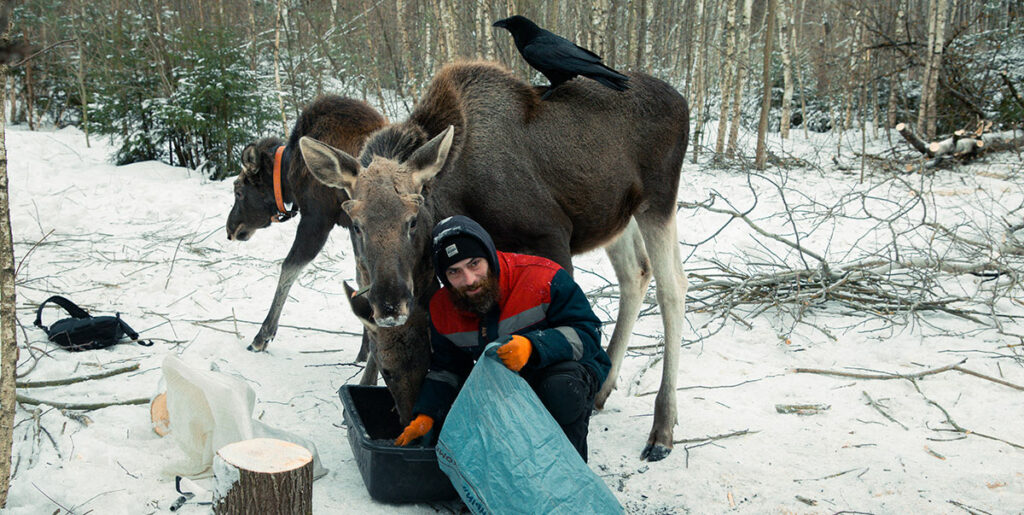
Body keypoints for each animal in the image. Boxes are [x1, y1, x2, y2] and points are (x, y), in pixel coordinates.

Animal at [226, 95, 385, 362]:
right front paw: (365, 351)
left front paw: (262, 336)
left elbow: (289, 267)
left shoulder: (317, 219)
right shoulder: (353, 228)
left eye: (238, 190)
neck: (289, 171)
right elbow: (361, 277)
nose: (230, 229)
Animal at [299, 61, 692, 462]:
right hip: (616, 218)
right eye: (356, 224)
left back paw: (661, 430)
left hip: (659, 200)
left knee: (674, 287)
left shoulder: (551, 235)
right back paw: (602, 392)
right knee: (636, 273)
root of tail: (682, 100)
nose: (390, 302)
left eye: (412, 219)